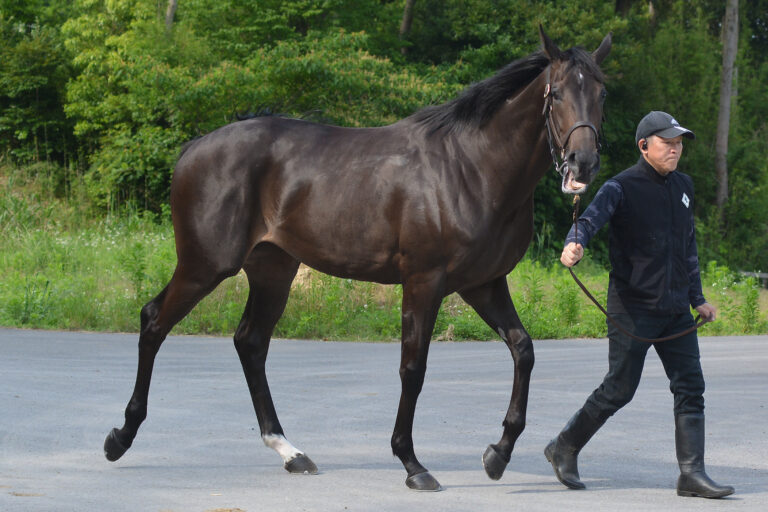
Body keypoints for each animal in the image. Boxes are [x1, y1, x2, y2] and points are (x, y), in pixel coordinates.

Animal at [104, 27, 612, 491]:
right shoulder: (425, 281)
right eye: (557, 93)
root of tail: (193, 148)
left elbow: (523, 350)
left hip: (273, 269)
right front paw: (412, 463)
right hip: (205, 265)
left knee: (250, 342)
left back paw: (290, 452)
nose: (581, 164)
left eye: (601, 92)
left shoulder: (483, 283)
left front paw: (498, 454)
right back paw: (120, 437)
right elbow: (413, 368)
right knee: (154, 321)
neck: (471, 168)